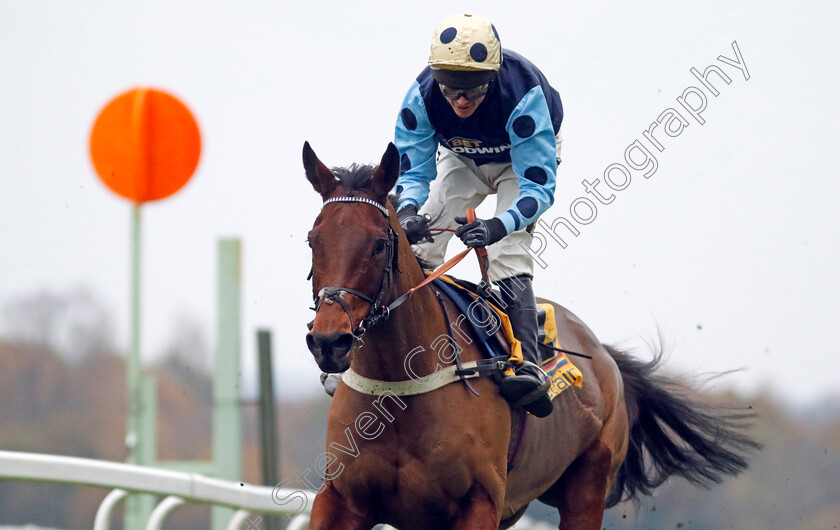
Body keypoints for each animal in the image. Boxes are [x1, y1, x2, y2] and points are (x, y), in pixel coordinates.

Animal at [304, 141, 760, 528]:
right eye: (313, 240)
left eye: (379, 244)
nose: (329, 341)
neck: (401, 388)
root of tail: (603, 354)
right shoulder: (339, 500)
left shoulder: (480, 504)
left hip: (587, 487)